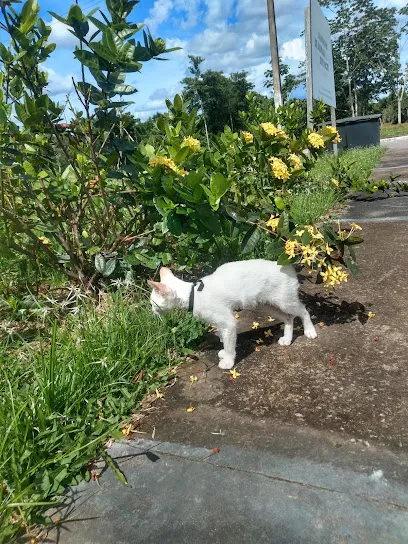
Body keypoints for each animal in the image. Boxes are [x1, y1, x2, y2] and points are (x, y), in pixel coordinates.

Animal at [148, 260, 318, 370]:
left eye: (153, 303)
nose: (152, 311)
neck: (193, 295)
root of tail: (287, 266)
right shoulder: (222, 323)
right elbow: (224, 339)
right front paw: (224, 353)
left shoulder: (228, 322)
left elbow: (229, 343)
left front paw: (228, 361)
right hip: (267, 305)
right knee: (289, 318)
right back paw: (287, 339)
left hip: (284, 301)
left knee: (303, 311)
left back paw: (310, 331)